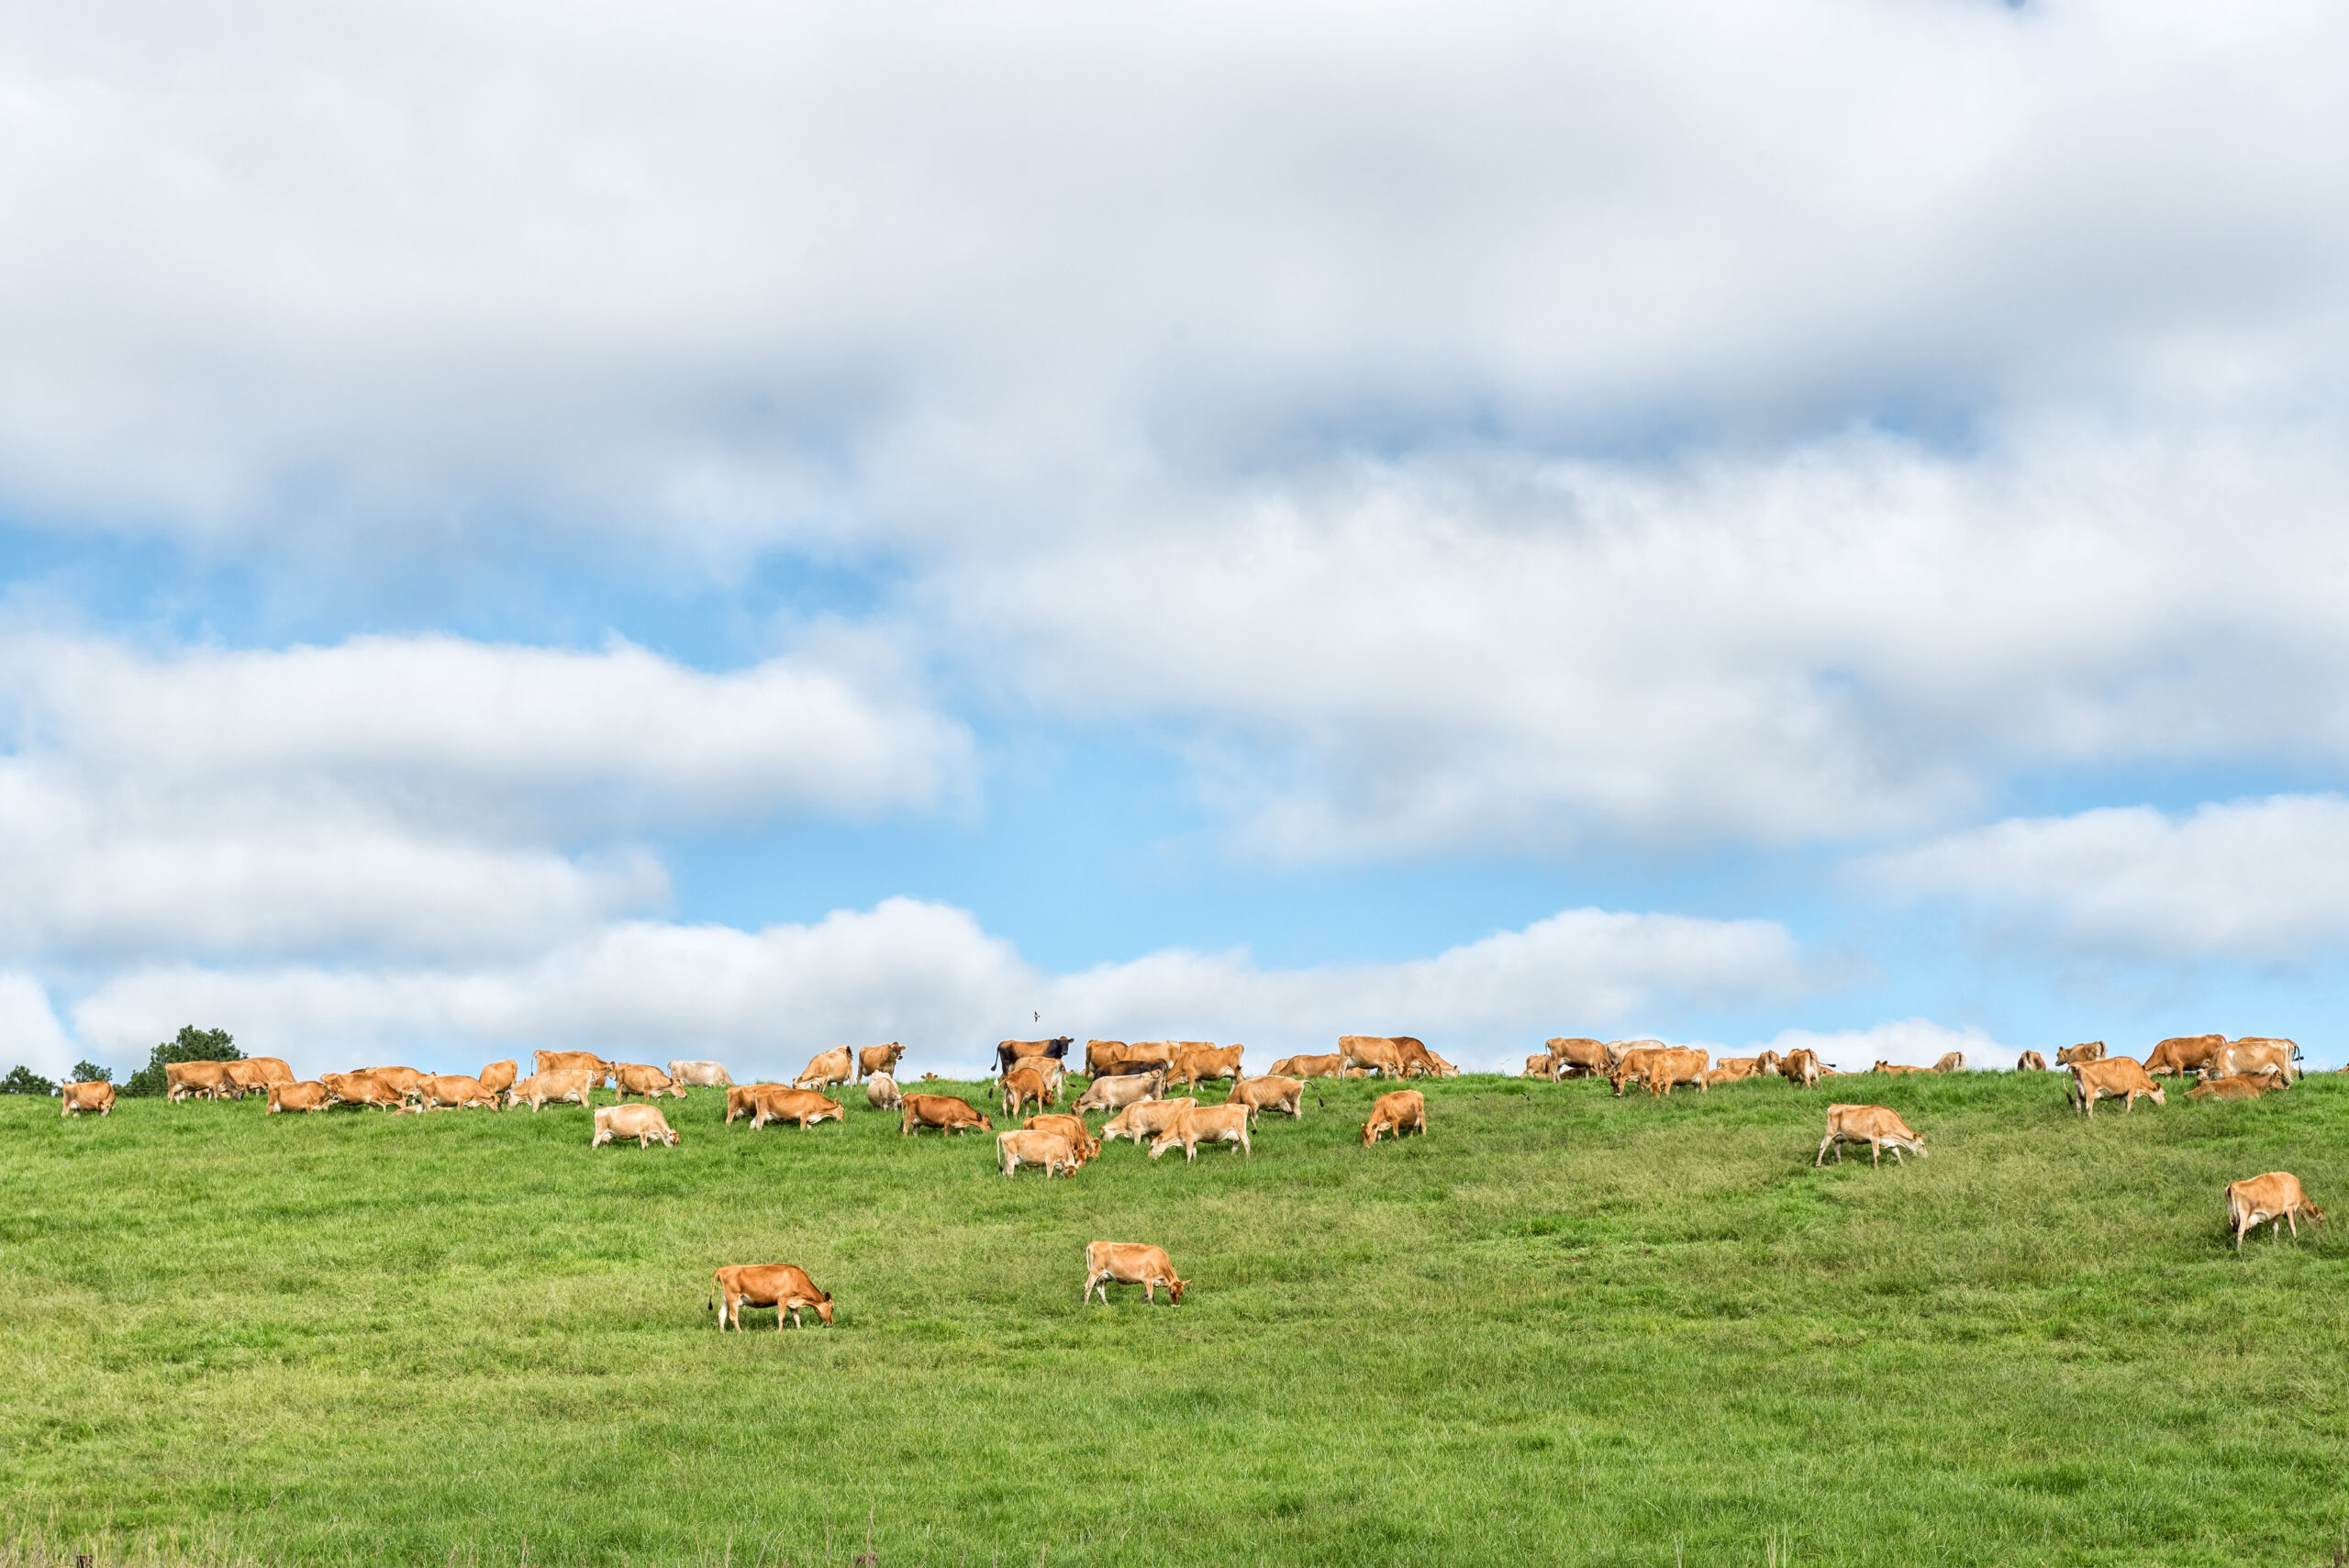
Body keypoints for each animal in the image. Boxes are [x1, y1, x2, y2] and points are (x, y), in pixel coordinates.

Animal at [709, 1264, 833, 1329]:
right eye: (832, 1309)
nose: (831, 1323)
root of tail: (723, 1269)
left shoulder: (792, 1302)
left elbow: (796, 1317)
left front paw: (799, 1329)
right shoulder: (782, 1298)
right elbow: (781, 1316)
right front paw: (780, 1331)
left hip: (726, 1299)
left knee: (722, 1314)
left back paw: (722, 1332)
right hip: (733, 1297)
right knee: (733, 1316)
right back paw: (740, 1332)